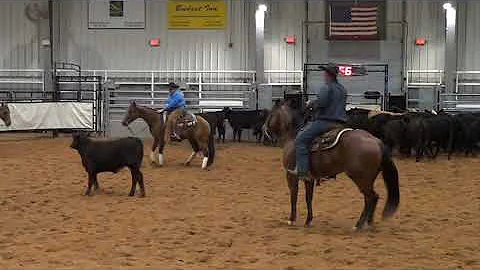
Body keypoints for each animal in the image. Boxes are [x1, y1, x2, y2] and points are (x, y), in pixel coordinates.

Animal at [260, 99, 400, 230]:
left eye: (271, 114)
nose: (264, 131)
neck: (293, 136)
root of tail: (376, 141)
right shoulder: (309, 179)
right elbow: (308, 198)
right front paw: (308, 220)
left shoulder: (291, 175)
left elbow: (293, 196)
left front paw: (291, 219)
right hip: (368, 179)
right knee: (372, 198)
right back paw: (369, 223)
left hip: (360, 178)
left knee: (371, 198)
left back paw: (358, 225)